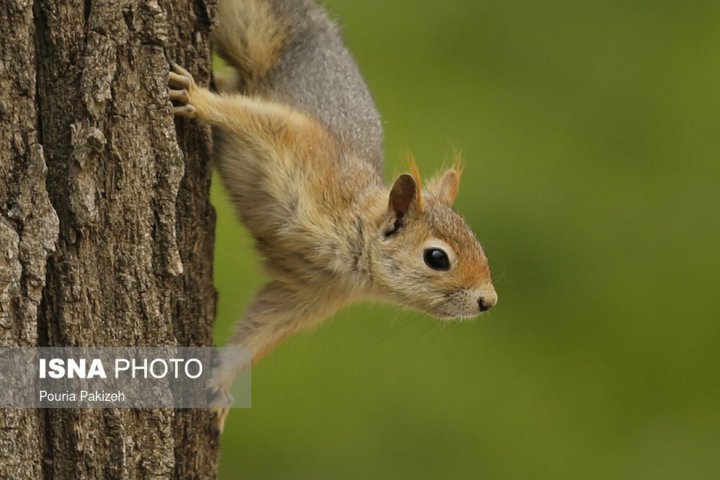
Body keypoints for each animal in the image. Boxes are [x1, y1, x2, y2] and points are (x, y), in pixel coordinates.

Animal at [168, 0, 498, 428]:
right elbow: (257, 119)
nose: (488, 301)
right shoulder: (304, 148)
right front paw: (199, 98)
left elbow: (260, 329)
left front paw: (221, 386)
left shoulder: (306, 292)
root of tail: (319, 24)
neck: (352, 236)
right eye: (437, 258)